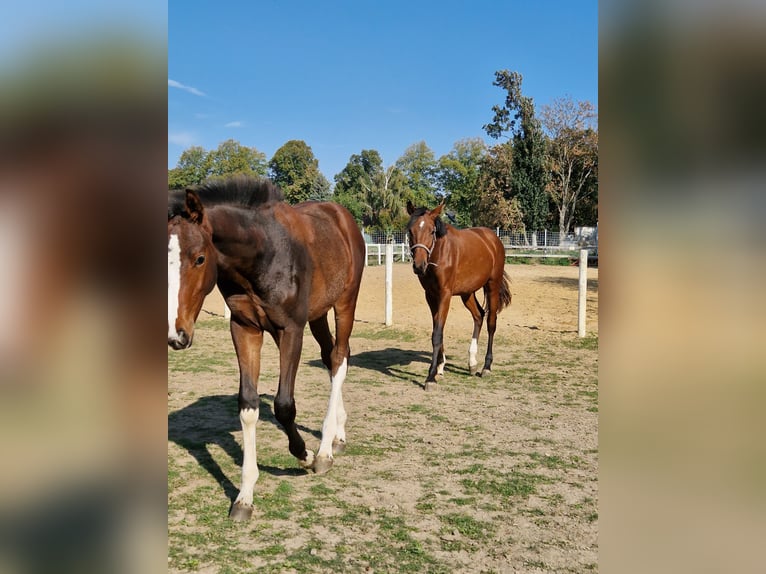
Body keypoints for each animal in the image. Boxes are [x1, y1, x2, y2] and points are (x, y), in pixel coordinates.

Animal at [168, 175, 365, 521]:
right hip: (317, 314)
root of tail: (342, 216)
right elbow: (248, 406)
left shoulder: (291, 330)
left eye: (200, 258)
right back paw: (338, 435)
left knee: (340, 359)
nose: (177, 334)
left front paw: (305, 455)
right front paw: (244, 496)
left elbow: (284, 404)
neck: (262, 254)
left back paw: (325, 451)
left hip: (345, 303)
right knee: (330, 358)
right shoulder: (244, 328)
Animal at [406, 201, 512, 390]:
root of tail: (493, 239)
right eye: (410, 230)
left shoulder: (445, 295)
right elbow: (437, 329)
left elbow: (437, 333)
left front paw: (430, 377)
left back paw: (486, 367)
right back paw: (472, 363)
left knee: (491, 323)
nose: (419, 265)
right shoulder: (430, 296)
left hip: (492, 285)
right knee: (479, 315)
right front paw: (440, 367)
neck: (439, 253)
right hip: (467, 293)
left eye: (431, 231)